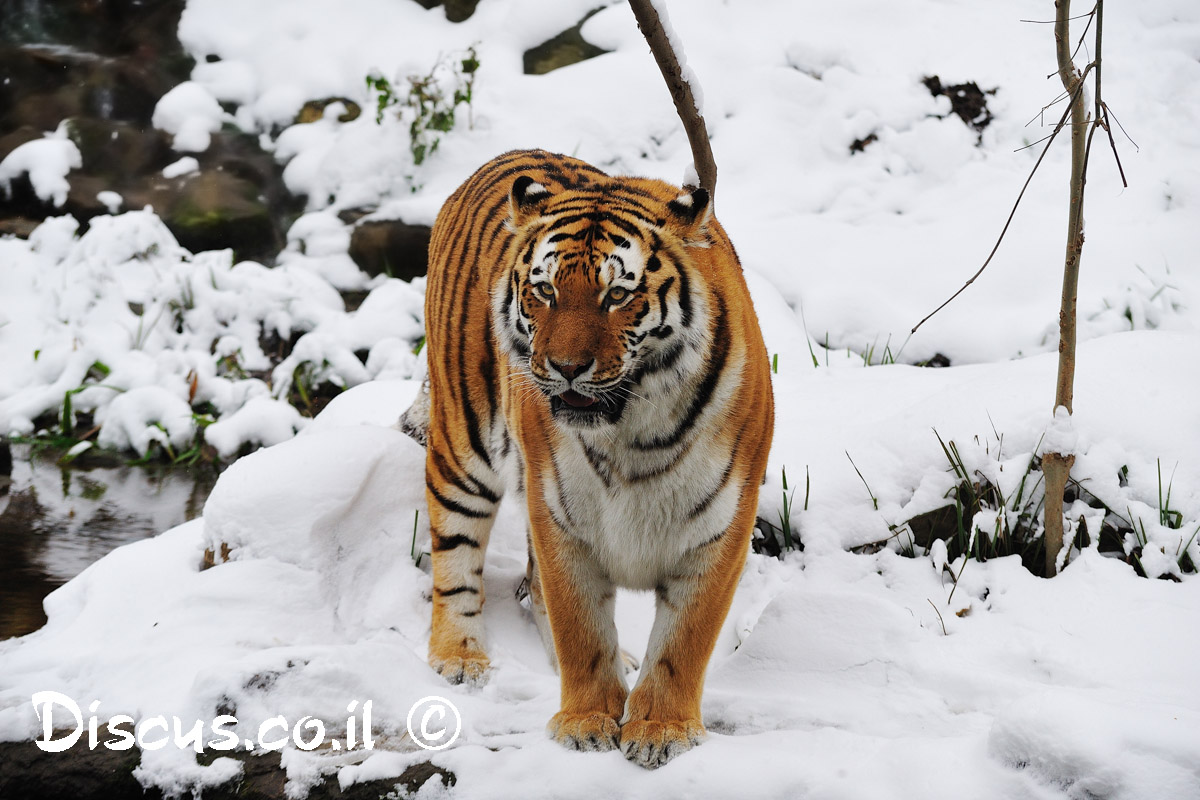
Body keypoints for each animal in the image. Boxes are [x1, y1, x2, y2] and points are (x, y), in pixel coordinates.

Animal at [408, 148, 772, 767]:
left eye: (617, 295)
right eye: (546, 292)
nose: (565, 367)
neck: (635, 431)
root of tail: (505, 155)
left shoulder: (720, 527)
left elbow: (683, 642)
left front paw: (661, 729)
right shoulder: (561, 518)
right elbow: (581, 627)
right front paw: (586, 722)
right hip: (463, 445)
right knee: (455, 556)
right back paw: (459, 656)